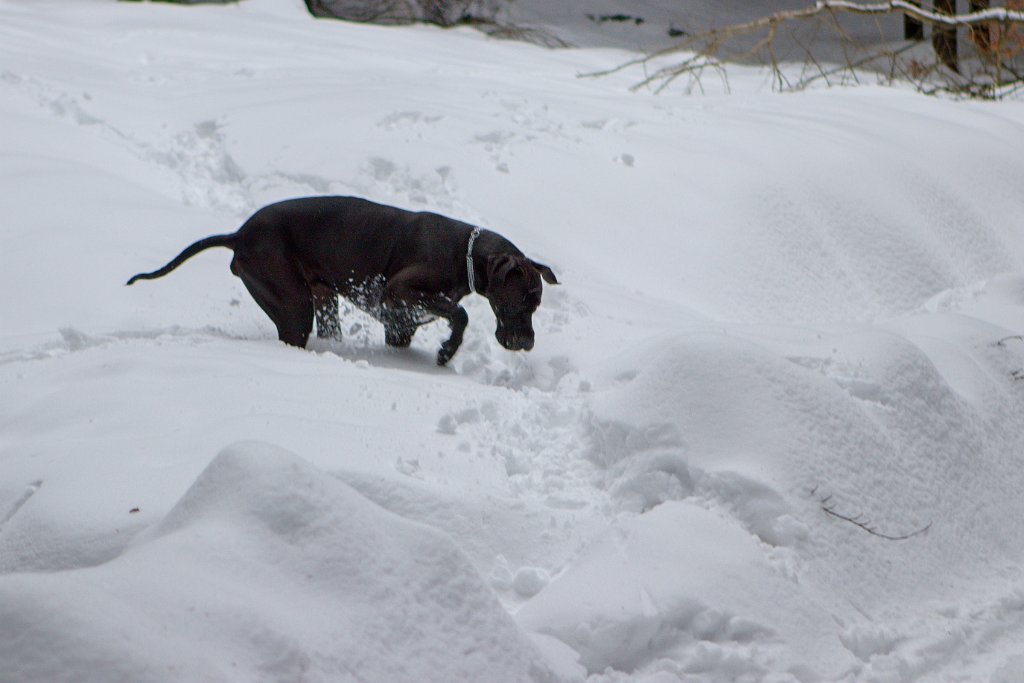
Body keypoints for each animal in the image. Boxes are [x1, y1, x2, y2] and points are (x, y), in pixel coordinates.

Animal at [130, 194, 561, 366]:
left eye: (537, 303)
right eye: (521, 301)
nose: (527, 343)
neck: (465, 254)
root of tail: (239, 234)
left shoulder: (399, 325)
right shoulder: (399, 293)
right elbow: (460, 314)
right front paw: (445, 353)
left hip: (320, 300)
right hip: (293, 304)